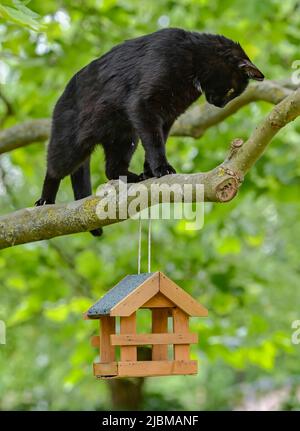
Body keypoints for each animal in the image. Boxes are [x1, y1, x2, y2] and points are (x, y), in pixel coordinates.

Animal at [36, 27, 264, 236]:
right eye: (231, 90)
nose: (220, 105)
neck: (193, 59)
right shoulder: (144, 104)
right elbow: (155, 142)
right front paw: (162, 168)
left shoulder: (168, 116)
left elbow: (158, 140)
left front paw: (150, 171)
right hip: (72, 144)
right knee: (54, 168)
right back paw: (45, 201)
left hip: (126, 137)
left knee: (111, 169)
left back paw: (134, 177)